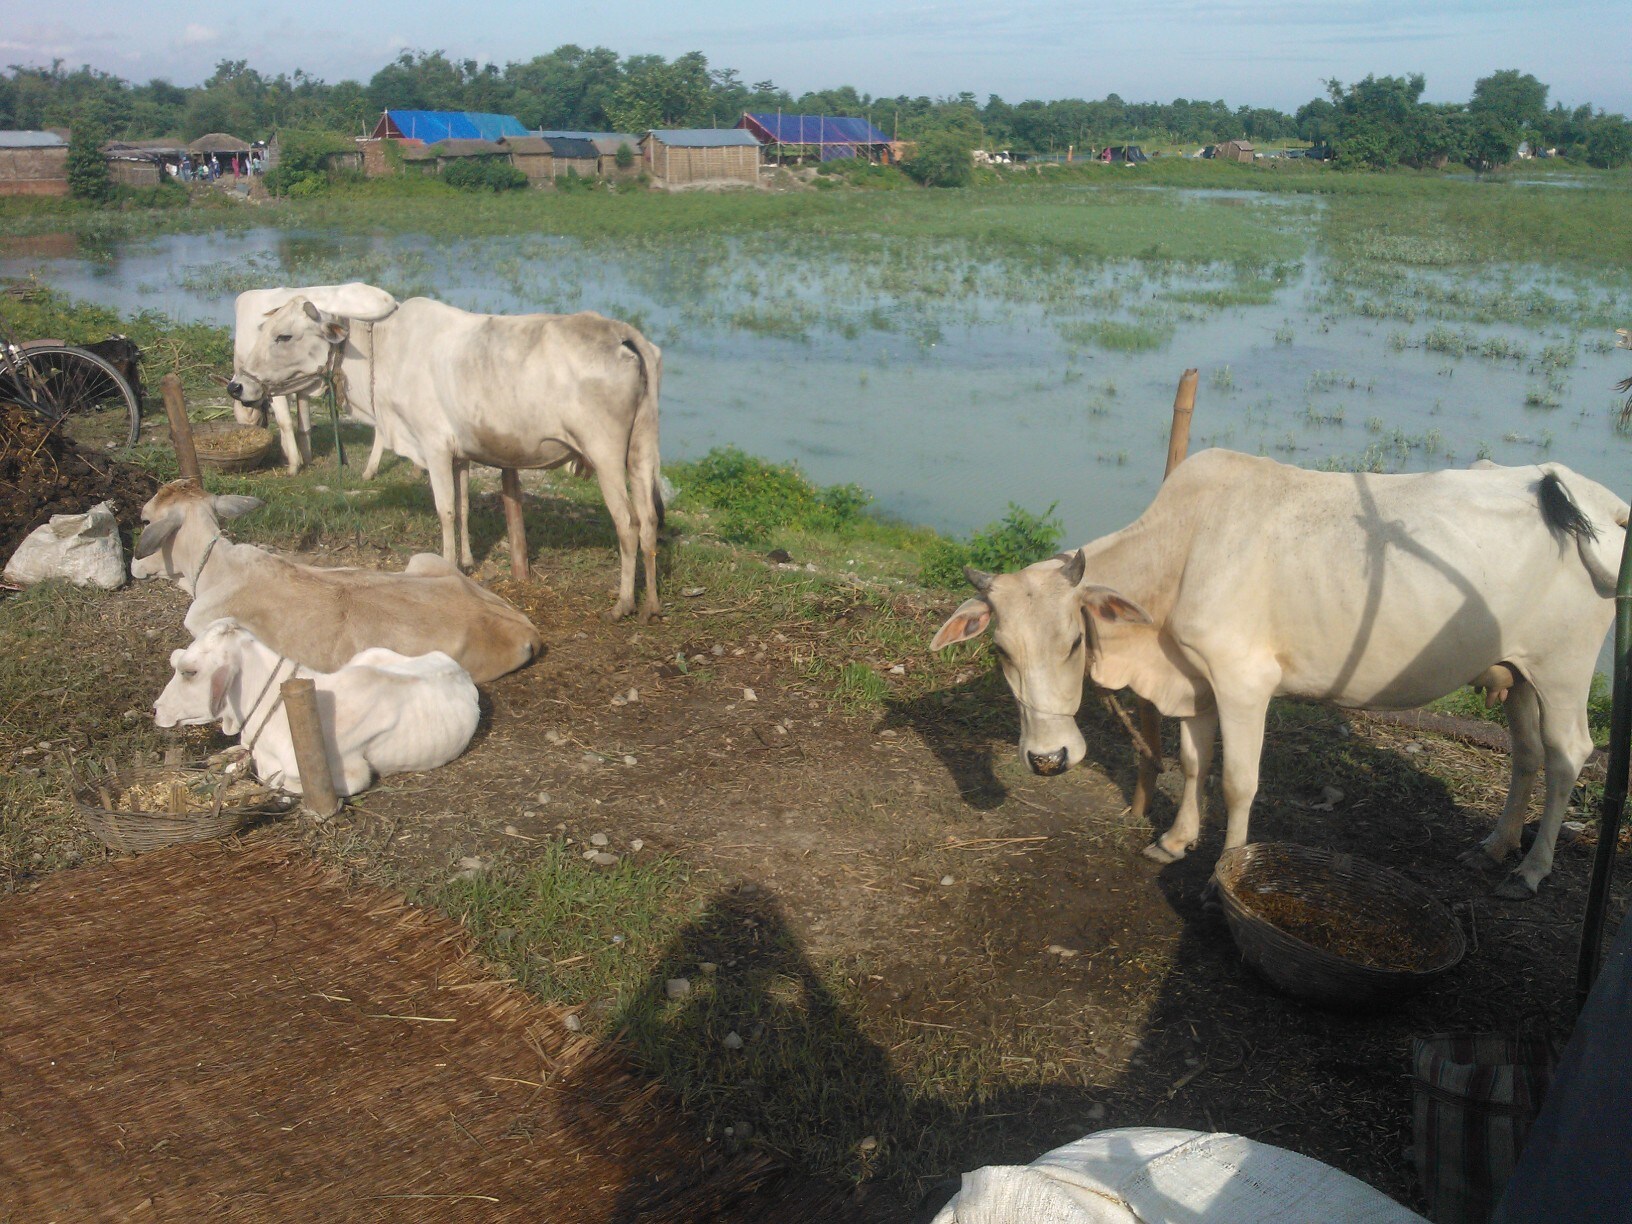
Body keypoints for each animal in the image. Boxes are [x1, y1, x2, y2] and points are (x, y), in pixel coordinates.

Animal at [228, 285, 399, 476]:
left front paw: (293, 464)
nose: (235, 388)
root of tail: (390, 300)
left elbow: (285, 422)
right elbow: (304, 425)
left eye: (284, 337)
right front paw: (303, 457)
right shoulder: (300, 383)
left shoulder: (276, 384)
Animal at [926, 450, 1625, 900]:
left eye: (1074, 640)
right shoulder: (1197, 684)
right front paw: (1175, 840)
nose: (1047, 760)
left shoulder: (1243, 682)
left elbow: (1238, 782)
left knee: (1567, 754)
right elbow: (1194, 764)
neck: (1182, 551)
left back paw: (1530, 870)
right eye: (1000, 652)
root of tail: (1584, 494)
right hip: (1518, 672)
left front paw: (1222, 873)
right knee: (1526, 755)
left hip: (1564, 669)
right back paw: (1494, 846)